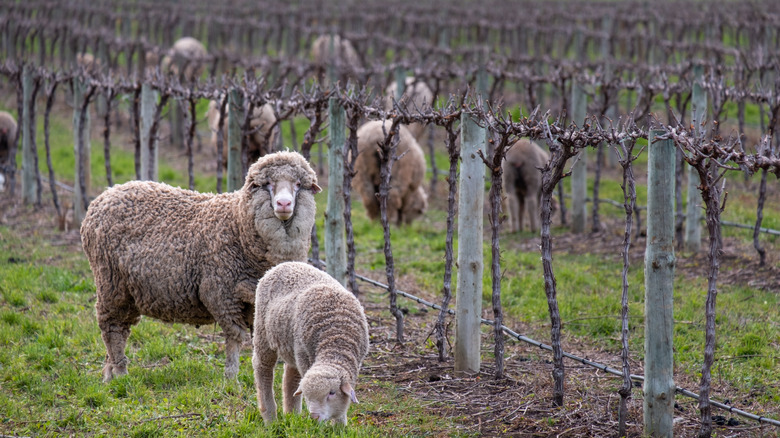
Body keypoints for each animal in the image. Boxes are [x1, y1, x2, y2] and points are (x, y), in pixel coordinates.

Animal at [80, 149, 322, 382]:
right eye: (267, 184)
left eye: (298, 184)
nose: (284, 204)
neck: (238, 224)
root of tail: (104, 195)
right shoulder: (220, 292)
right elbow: (235, 338)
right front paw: (231, 379)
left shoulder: (255, 302)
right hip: (111, 283)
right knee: (113, 329)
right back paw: (120, 375)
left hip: (126, 290)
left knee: (118, 331)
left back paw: (109, 373)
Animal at [253, 262, 368, 426]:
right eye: (308, 396)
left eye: (332, 393)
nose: (314, 416)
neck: (336, 340)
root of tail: (283, 264)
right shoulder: (305, 356)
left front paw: (339, 426)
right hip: (264, 333)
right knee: (263, 368)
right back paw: (270, 417)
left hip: (292, 346)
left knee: (290, 378)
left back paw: (292, 415)